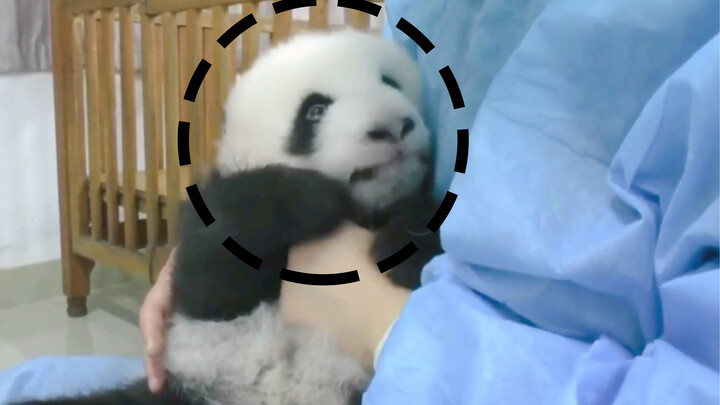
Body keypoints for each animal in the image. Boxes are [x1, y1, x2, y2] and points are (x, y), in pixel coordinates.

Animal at [15, 28, 442, 405]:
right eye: (315, 110)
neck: (367, 208)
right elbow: (213, 276)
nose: (392, 127)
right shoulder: (212, 256)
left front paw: (406, 246)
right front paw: (316, 196)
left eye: (392, 83)